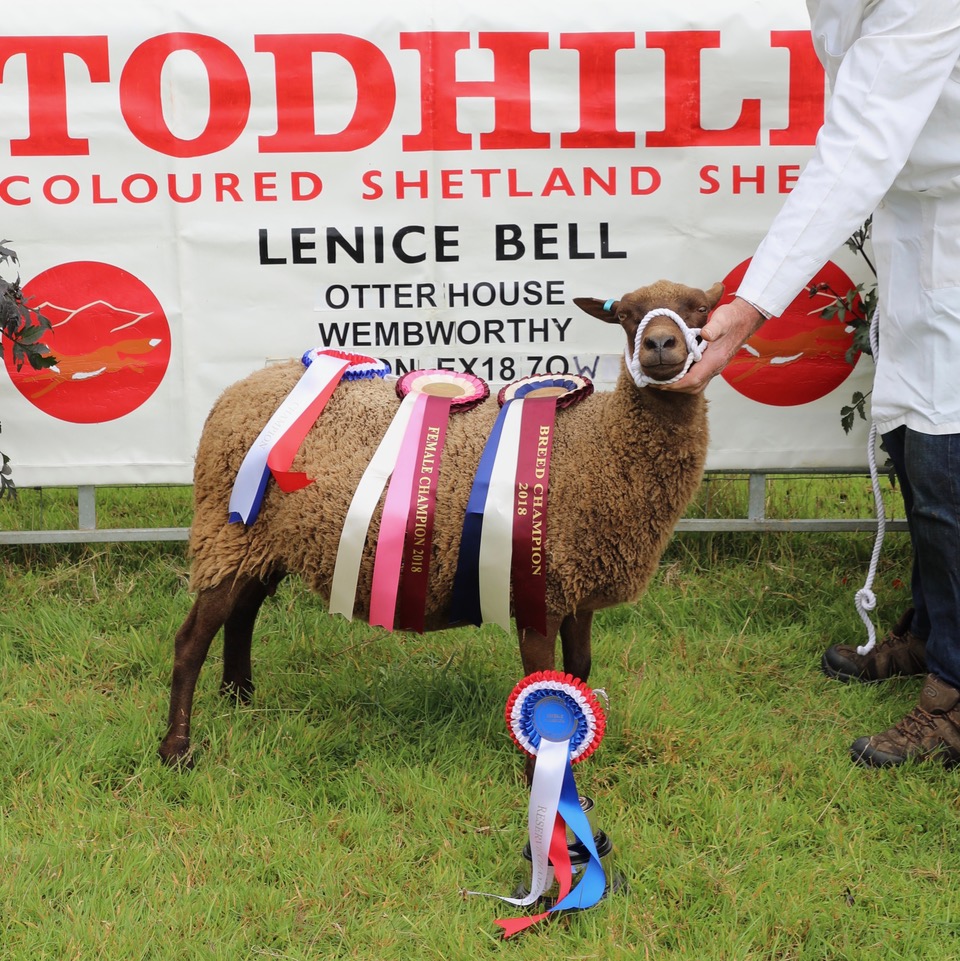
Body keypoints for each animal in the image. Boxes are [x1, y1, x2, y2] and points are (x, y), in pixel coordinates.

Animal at [161, 278, 724, 764]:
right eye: (625, 314)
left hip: (264, 540)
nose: (659, 344)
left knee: (241, 616)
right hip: (227, 528)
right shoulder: (539, 591)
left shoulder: (577, 588)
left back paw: (241, 701)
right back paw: (177, 749)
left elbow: (578, 673)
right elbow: (542, 684)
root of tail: (238, 389)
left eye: (700, 307)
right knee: (192, 638)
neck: (601, 440)